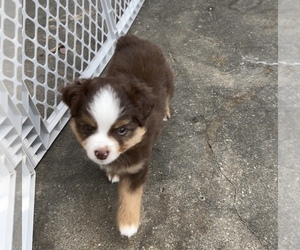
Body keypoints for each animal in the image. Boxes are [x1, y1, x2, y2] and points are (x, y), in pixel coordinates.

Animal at [61, 34, 173, 236]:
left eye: (122, 130)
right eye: (88, 127)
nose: (101, 154)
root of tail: (133, 38)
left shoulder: (138, 166)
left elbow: (130, 195)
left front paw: (128, 224)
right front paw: (113, 172)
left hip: (169, 80)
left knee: (167, 96)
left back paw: (166, 111)